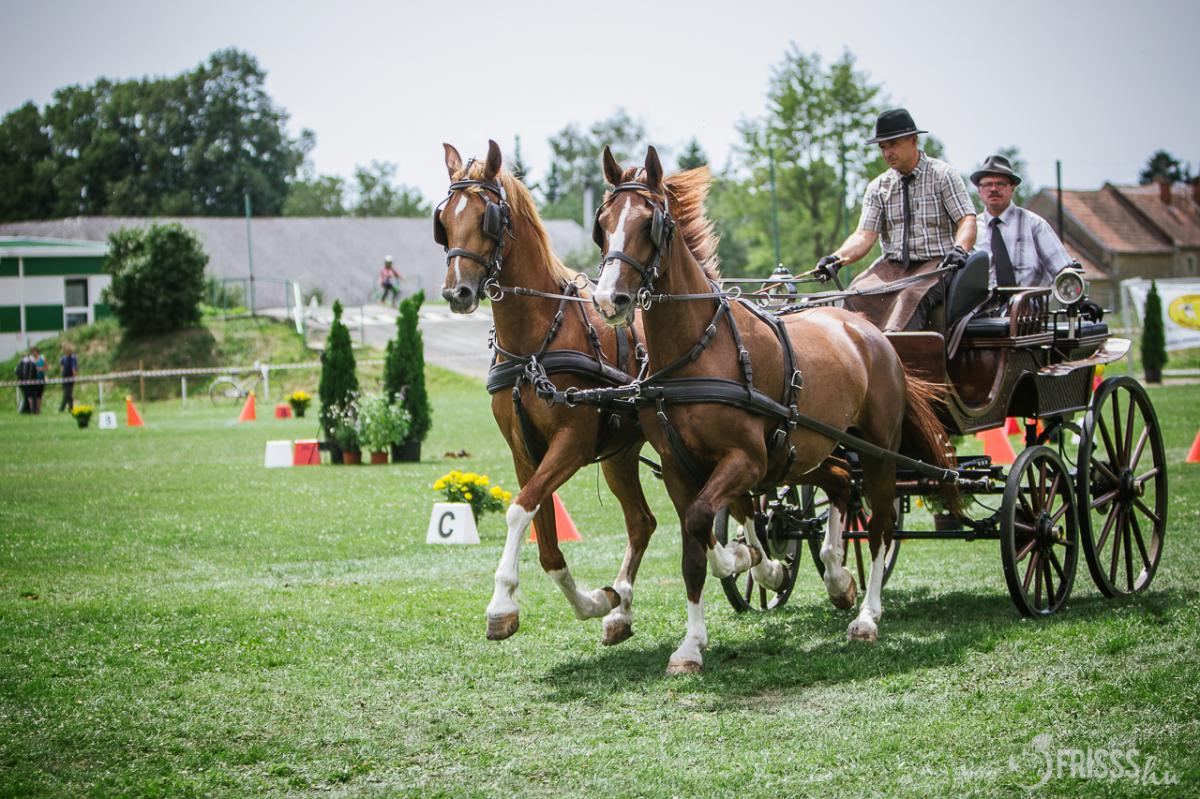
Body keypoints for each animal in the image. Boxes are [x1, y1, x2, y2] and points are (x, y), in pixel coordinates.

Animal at [435, 140, 657, 646]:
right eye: (444, 219)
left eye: (488, 217)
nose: (457, 292)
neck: (534, 344)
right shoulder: (524, 451)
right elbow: (545, 537)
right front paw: (597, 601)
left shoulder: (572, 443)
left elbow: (519, 511)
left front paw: (500, 601)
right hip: (620, 454)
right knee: (642, 522)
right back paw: (621, 610)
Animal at [590, 146, 956, 674]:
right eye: (602, 224)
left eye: (649, 223)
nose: (607, 298)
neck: (700, 348)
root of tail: (868, 330)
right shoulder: (681, 468)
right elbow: (694, 545)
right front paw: (693, 643)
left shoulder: (748, 460)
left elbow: (703, 523)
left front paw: (753, 567)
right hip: (813, 448)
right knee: (841, 485)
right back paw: (838, 577)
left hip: (878, 452)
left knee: (881, 524)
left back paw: (867, 614)